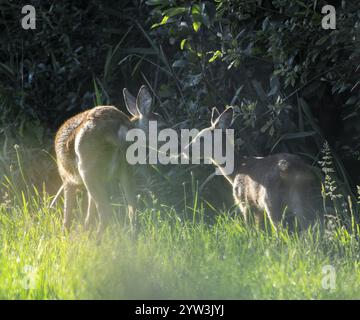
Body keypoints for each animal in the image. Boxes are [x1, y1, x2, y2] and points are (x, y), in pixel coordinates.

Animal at [53, 85, 160, 232]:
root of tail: (116, 129)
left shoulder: (67, 179)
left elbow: (67, 215)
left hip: (87, 170)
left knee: (105, 212)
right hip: (124, 170)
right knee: (132, 210)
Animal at [191, 107, 320, 230]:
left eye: (201, 138)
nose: (187, 150)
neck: (237, 170)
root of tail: (292, 169)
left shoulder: (244, 200)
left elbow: (250, 228)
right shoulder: (257, 208)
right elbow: (259, 229)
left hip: (271, 199)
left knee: (281, 229)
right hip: (304, 197)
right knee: (309, 225)